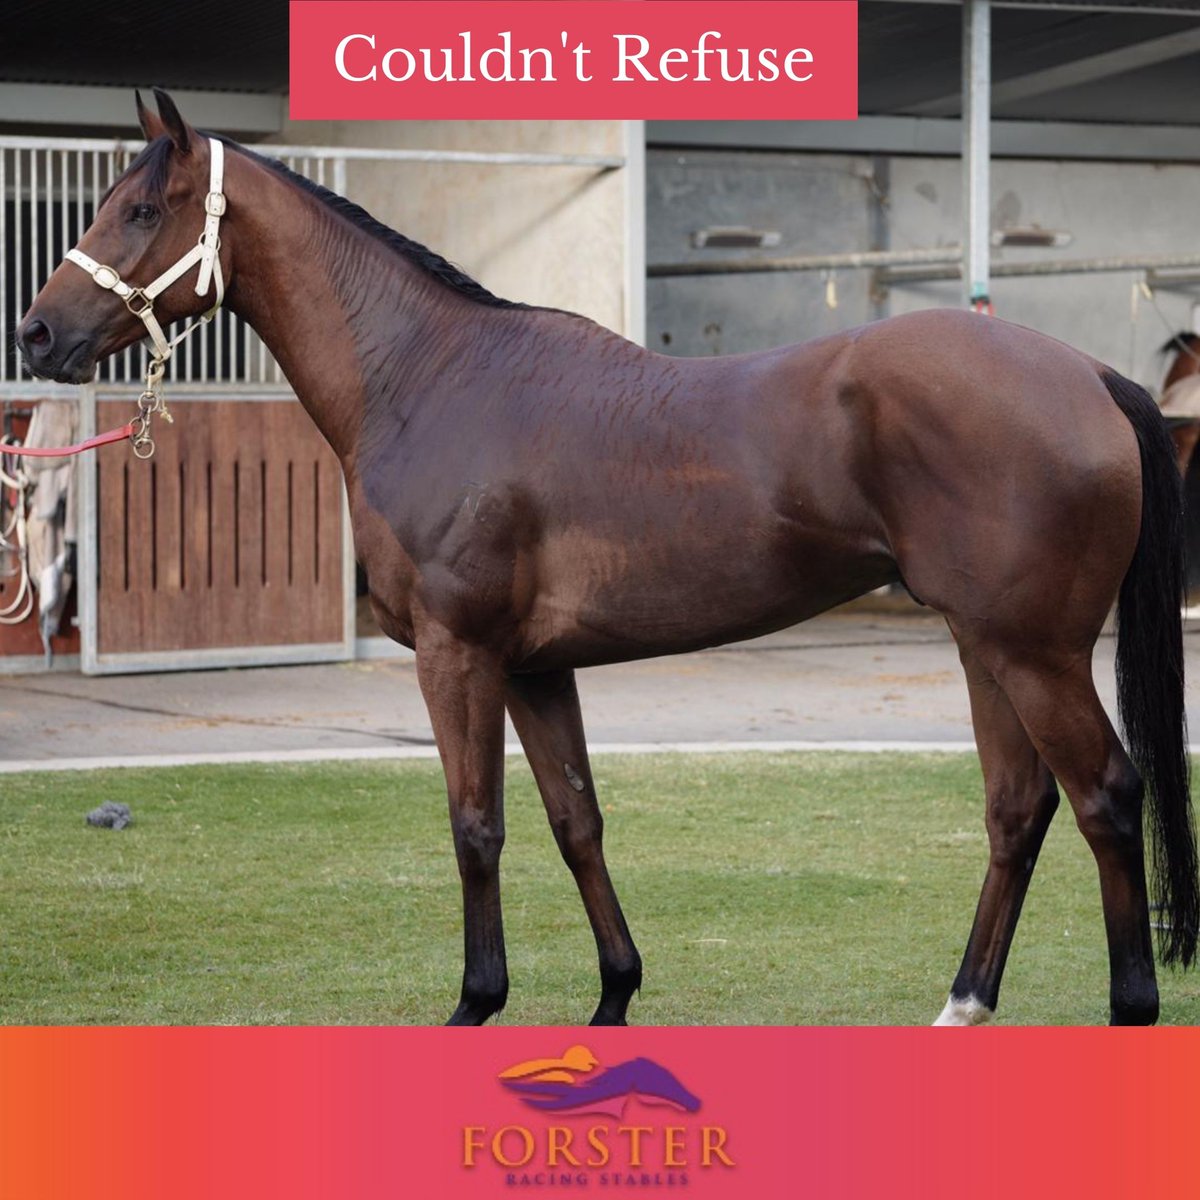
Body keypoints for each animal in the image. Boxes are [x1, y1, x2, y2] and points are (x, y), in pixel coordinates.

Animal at [16, 90, 1199, 1026]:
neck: (428, 379)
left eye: (139, 209)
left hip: (1033, 651)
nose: (34, 336)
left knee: (1104, 795)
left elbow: (477, 826)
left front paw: (476, 1003)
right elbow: (575, 819)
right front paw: (614, 992)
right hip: (981, 642)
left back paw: (1129, 1006)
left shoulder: (456, 654)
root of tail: (1090, 375)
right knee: (1017, 808)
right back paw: (962, 1004)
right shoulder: (538, 668)